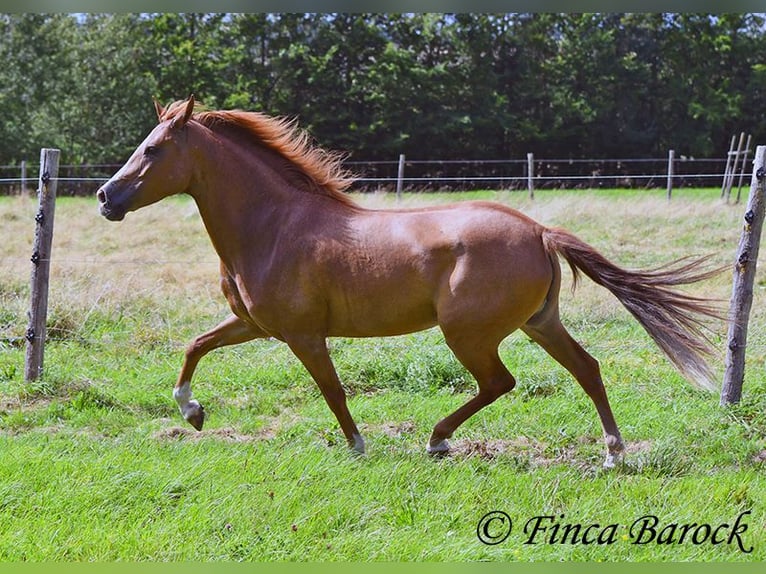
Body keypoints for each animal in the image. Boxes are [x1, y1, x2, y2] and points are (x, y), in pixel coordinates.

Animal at [97, 98, 728, 468]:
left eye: (153, 149)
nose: (106, 198)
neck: (272, 226)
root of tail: (538, 230)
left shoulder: (302, 335)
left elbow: (332, 390)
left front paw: (357, 447)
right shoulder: (253, 324)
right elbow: (194, 346)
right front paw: (192, 412)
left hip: (468, 333)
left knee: (501, 382)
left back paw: (437, 439)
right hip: (538, 322)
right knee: (587, 369)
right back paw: (613, 453)